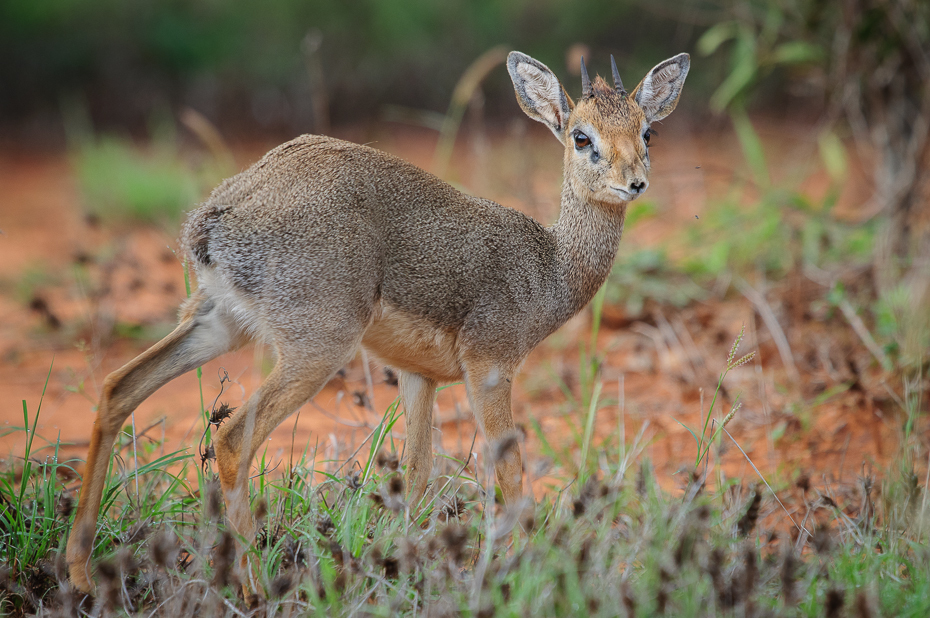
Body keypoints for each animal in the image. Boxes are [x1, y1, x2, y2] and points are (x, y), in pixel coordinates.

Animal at [67, 50, 688, 588]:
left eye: (647, 132)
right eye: (582, 137)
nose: (634, 183)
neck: (549, 264)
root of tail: (216, 218)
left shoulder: (419, 378)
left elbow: (415, 475)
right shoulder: (490, 369)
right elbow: (512, 476)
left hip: (219, 324)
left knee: (118, 388)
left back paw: (79, 572)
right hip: (316, 349)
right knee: (232, 437)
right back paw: (253, 588)